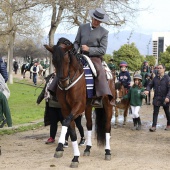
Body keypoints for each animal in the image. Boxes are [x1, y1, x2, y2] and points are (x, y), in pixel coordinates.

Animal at [44, 37, 114, 167]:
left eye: (66, 61)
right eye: (54, 61)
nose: (63, 82)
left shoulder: (78, 106)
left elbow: (66, 122)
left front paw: (60, 146)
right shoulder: (66, 108)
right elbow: (71, 130)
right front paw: (74, 156)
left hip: (108, 105)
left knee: (107, 126)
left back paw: (107, 151)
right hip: (88, 107)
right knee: (90, 125)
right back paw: (87, 148)